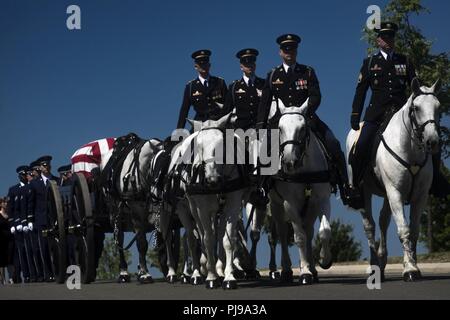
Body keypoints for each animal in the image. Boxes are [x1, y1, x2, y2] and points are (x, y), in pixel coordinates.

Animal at [266, 99, 332, 284]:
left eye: (302, 128)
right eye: (280, 128)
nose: (289, 162)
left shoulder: (323, 199)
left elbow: (324, 231)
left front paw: (323, 260)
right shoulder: (290, 204)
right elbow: (299, 237)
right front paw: (305, 273)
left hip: (310, 207)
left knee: (309, 231)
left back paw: (313, 268)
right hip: (276, 206)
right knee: (282, 233)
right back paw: (287, 270)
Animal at [346, 79, 442, 282]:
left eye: (438, 107)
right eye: (416, 108)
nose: (432, 141)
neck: (410, 148)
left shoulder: (419, 196)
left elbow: (414, 231)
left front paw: (414, 265)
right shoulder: (396, 193)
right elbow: (404, 229)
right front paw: (410, 269)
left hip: (386, 195)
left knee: (383, 221)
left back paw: (382, 263)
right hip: (365, 193)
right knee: (370, 226)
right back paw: (374, 265)